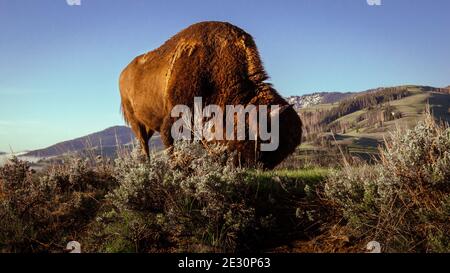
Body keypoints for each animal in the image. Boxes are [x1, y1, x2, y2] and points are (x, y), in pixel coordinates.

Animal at [119, 21, 302, 168]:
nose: (254, 165)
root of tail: (123, 74)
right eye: (265, 139)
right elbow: (170, 142)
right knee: (144, 143)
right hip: (136, 122)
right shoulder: (175, 116)